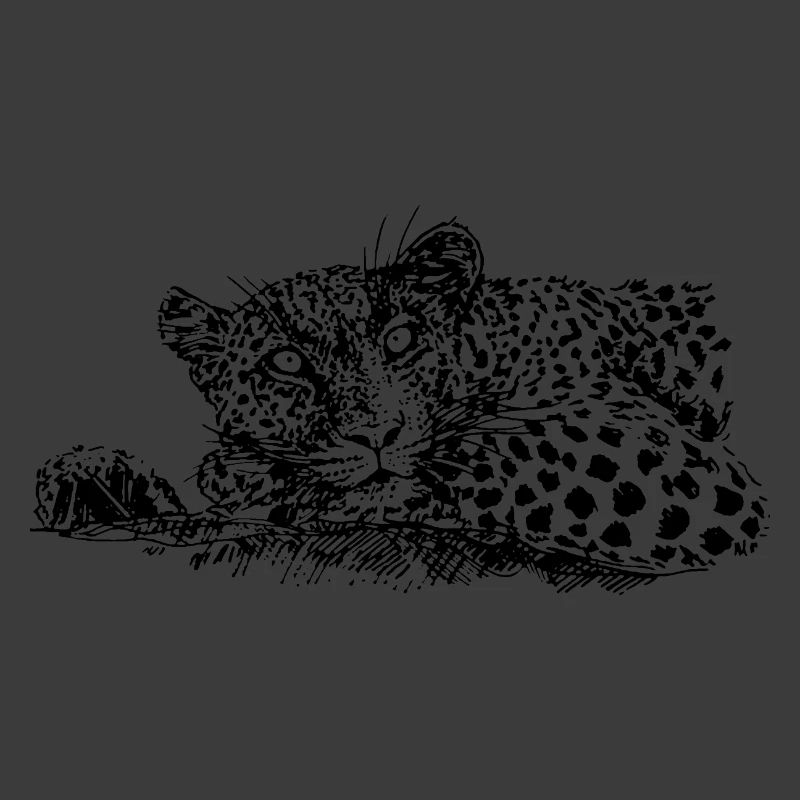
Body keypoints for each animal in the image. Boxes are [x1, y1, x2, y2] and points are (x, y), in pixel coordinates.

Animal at [35, 218, 769, 585]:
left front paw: (254, 480)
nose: (375, 433)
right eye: (286, 361)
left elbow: (496, 453)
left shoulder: (668, 456)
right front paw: (93, 477)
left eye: (399, 337)